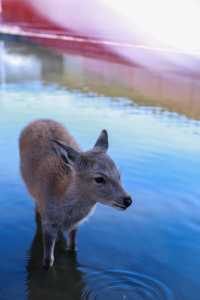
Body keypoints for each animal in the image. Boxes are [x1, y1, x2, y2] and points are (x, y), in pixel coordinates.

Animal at [19, 119, 133, 270]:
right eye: (99, 178)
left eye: (119, 175)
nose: (127, 200)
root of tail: (37, 120)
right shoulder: (48, 223)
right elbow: (48, 261)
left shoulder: (76, 225)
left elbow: (73, 248)